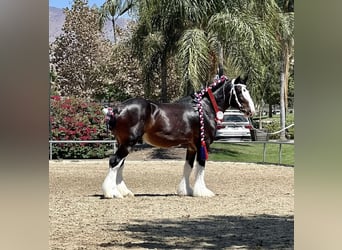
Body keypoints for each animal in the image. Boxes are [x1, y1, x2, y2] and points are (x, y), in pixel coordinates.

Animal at [101, 75, 254, 198]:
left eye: (246, 89)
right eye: (240, 91)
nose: (251, 111)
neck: (204, 108)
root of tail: (117, 109)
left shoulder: (191, 147)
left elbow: (188, 167)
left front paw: (186, 191)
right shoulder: (202, 144)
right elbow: (201, 166)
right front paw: (202, 192)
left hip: (123, 142)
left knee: (120, 164)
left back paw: (123, 192)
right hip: (128, 143)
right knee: (114, 161)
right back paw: (112, 193)